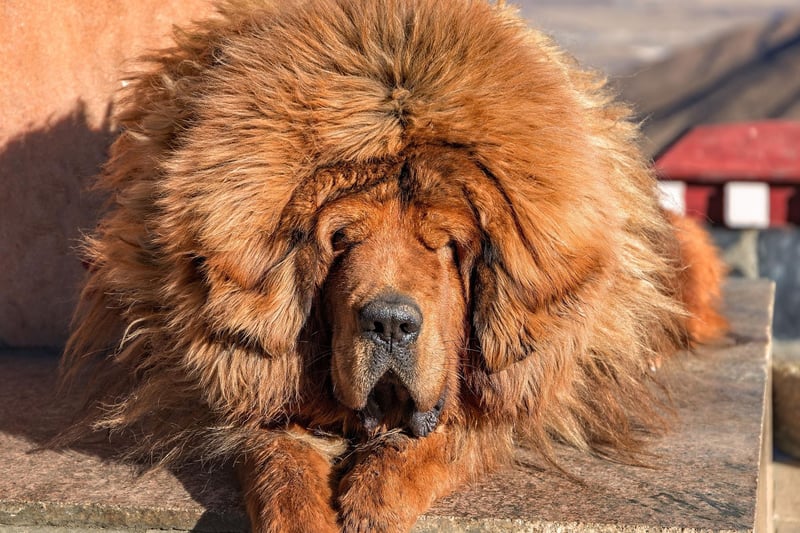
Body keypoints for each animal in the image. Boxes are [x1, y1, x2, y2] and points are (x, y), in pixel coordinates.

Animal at [59, 2, 728, 528]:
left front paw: (376, 492)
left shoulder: (515, 390)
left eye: (448, 246)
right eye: (340, 241)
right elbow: (274, 455)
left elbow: (456, 437)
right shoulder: (246, 382)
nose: (389, 323)